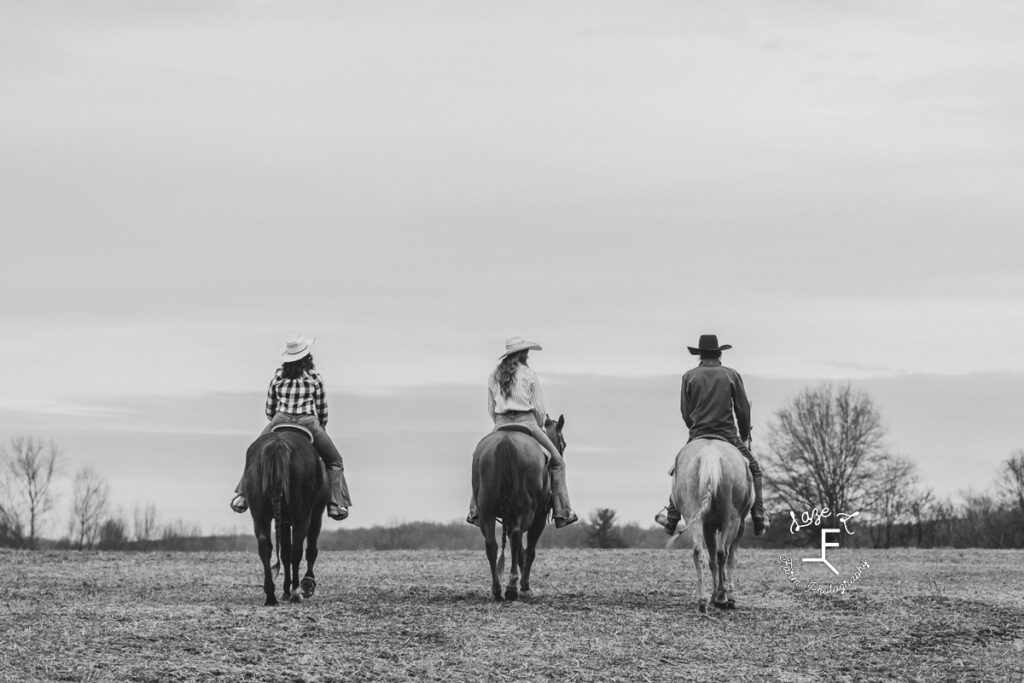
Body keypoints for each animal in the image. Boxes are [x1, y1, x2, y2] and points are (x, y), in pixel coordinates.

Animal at [240, 428, 327, 610]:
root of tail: (277, 444)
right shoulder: (316, 515)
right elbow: (309, 550)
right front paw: (306, 584)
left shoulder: (285, 521)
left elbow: (285, 553)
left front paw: (285, 590)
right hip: (303, 515)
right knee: (297, 550)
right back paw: (296, 592)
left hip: (259, 515)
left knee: (265, 547)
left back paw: (271, 595)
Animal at [473, 413, 569, 602]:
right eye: (563, 443)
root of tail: (506, 442)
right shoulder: (539, 516)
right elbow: (529, 551)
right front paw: (525, 587)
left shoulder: (509, 518)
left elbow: (519, 552)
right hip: (526, 511)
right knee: (517, 537)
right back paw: (512, 588)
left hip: (486, 512)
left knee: (492, 544)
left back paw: (497, 590)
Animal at [671, 438, 753, 614]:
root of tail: (710, 452)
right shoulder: (740, 525)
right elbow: (731, 558)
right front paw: (728, 595)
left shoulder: (708, 526)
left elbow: (712, 560)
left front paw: (715, 595)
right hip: (732, 520)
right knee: (723, 554)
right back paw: (721, 597)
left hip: (693, 516)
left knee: (699, 552)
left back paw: (703, 601)